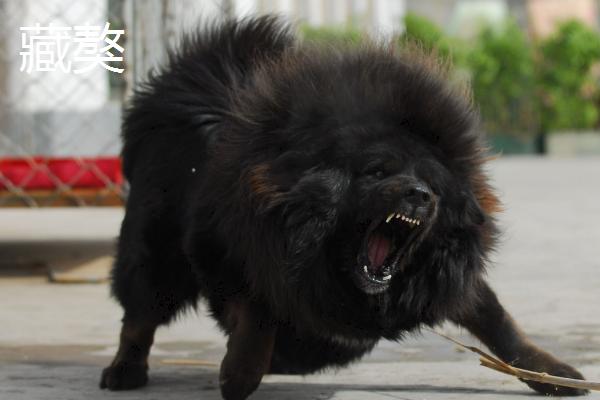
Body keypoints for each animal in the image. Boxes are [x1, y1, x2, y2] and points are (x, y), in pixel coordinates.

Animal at [101, 16, 588, 400]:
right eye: (375, 172)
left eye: (434, 185)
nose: (419, 194)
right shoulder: (230, 252)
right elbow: (258, 313)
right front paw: (239, 373)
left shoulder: (447, 278)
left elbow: (501, 324)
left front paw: (551, 373)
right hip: (154, 258)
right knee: (138, 317)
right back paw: (125, 369)